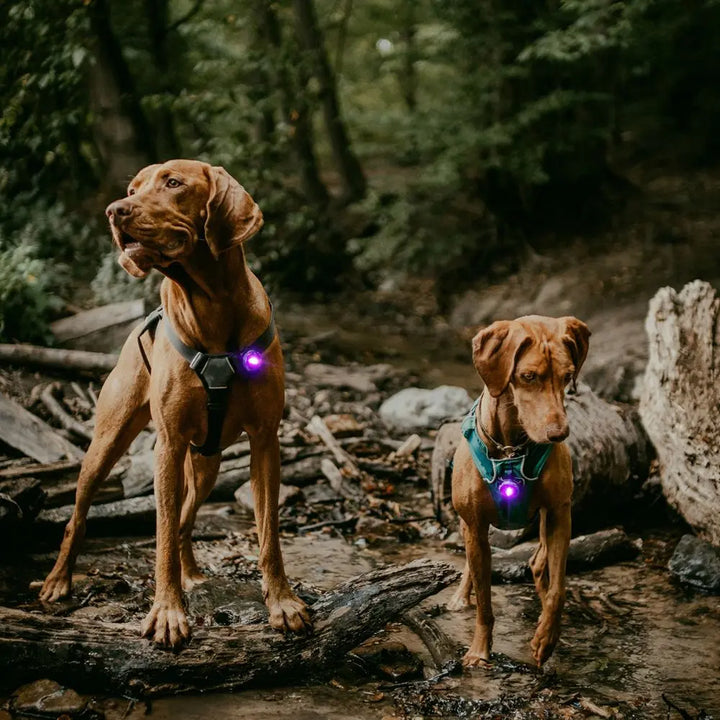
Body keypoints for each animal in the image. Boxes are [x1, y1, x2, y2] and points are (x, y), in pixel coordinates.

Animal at [39, 159, 310, 648]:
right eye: (132, 190)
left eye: (173, 183)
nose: (114, 210)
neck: (213, 306)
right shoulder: (167, 444)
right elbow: (161, 535)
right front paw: (167, 614)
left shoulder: (265, 440)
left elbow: (269, 534)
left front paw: (282, 602)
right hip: (107, 444)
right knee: (81, 515)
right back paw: (58, 580)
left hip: (206, 463)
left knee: (186, 519)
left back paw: (192, 574)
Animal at [450, 316, 592, 668]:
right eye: (528, 377)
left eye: (567, 376)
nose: (559, 434)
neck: (512, 448)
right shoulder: (475, 526)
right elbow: (485, 601)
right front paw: (479, 651)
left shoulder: (559, 514)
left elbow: (558, 590)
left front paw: (546, 637)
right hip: (468, 526)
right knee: (472, 564)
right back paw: (460, 597)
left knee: (540, 563)